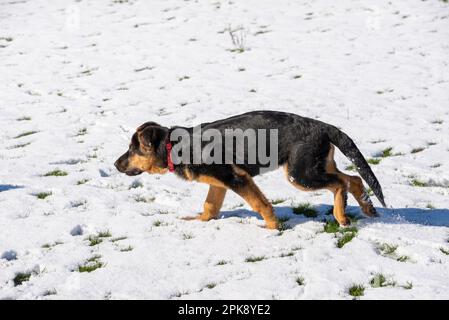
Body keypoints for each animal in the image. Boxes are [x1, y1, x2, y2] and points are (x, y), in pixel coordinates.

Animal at [114, 111, 384, 229]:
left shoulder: (236, 177)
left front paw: (273, 228)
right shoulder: (219, 183)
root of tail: (325, 127)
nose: (115, 165)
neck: (175, 146)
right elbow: (210, 206)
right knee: (353, 179)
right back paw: (367, 208)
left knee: (340, 183)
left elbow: (260, 204)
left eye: (132, 150)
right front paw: (199, 221)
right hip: (315, 166)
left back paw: (341, 216)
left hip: (300, 174)